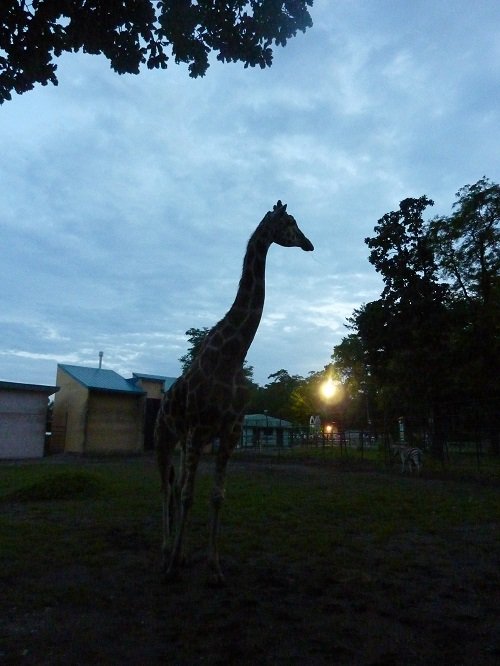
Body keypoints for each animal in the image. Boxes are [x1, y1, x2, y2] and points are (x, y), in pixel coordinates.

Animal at [154, 200, 314, 584]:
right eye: (289, 221)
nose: (309, 244)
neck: (232, 355)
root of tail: (163, 400)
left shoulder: (229, 430)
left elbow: (215, 495)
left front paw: (213, 566)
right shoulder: (199, 427)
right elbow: (188, 495)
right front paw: (173, 565)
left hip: (184, 442)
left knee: (175, 486)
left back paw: (180, 553)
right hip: (165, 438)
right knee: (167, 488)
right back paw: (166, 552)